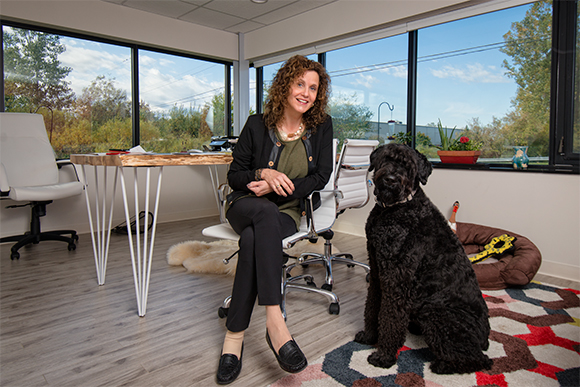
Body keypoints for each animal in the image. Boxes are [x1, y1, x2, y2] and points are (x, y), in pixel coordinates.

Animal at [354, 144, 494, 374]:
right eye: (386, 158)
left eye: (409, 166)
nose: (391, 179)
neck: (396, 208)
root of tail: (485, 337)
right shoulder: (376, 272)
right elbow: (372, 307)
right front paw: (368, 337)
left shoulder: (396, 279)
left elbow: (390, 318)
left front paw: (384, 356)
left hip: (435, 312)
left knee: (480, 360)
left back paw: (441, 365)